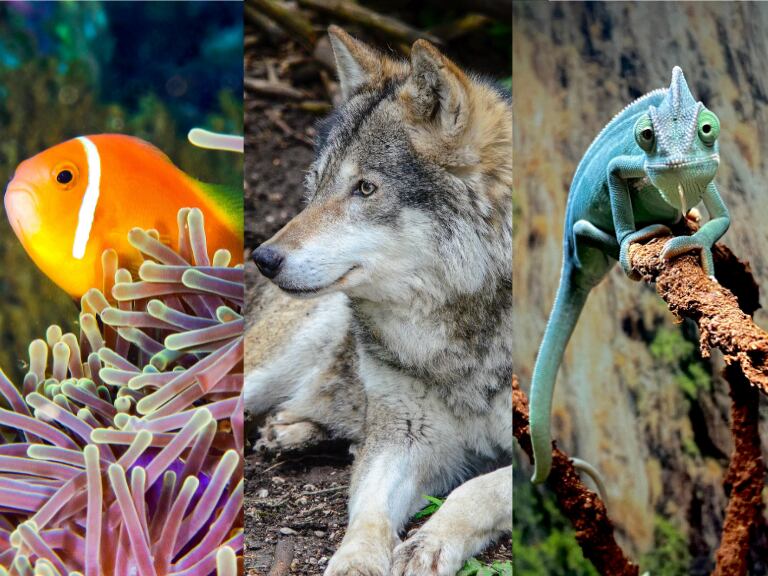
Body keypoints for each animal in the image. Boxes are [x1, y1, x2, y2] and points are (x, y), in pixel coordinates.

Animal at [245, 26, 513, 576]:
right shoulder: (403, 436)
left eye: (365, 188)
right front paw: (356, 562)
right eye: (317, 184)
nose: (265, 257)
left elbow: (478, 489)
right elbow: (367, 513)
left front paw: (430, 544)